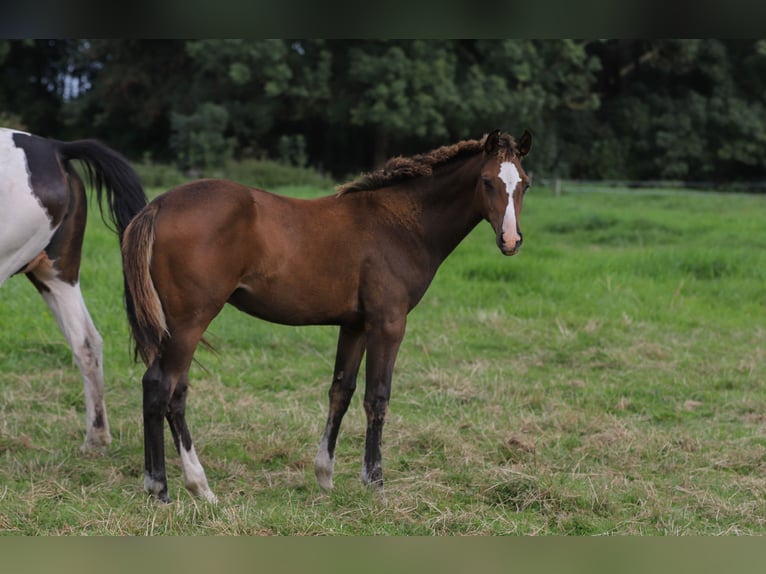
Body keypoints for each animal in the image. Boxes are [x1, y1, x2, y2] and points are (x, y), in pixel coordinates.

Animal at [124, 130, 536, 504]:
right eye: (487, 181)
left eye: (525, 184)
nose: (511, 240)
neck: (401, 223)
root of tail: (159, 205)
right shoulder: (388, 323)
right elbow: (377, 398)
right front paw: (376, 485)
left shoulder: (354, 326)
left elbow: (341, 391)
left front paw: (325, 477)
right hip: (189, 322)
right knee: (163, 388)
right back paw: (171, 488)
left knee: (168, 389)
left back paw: (184, 487)